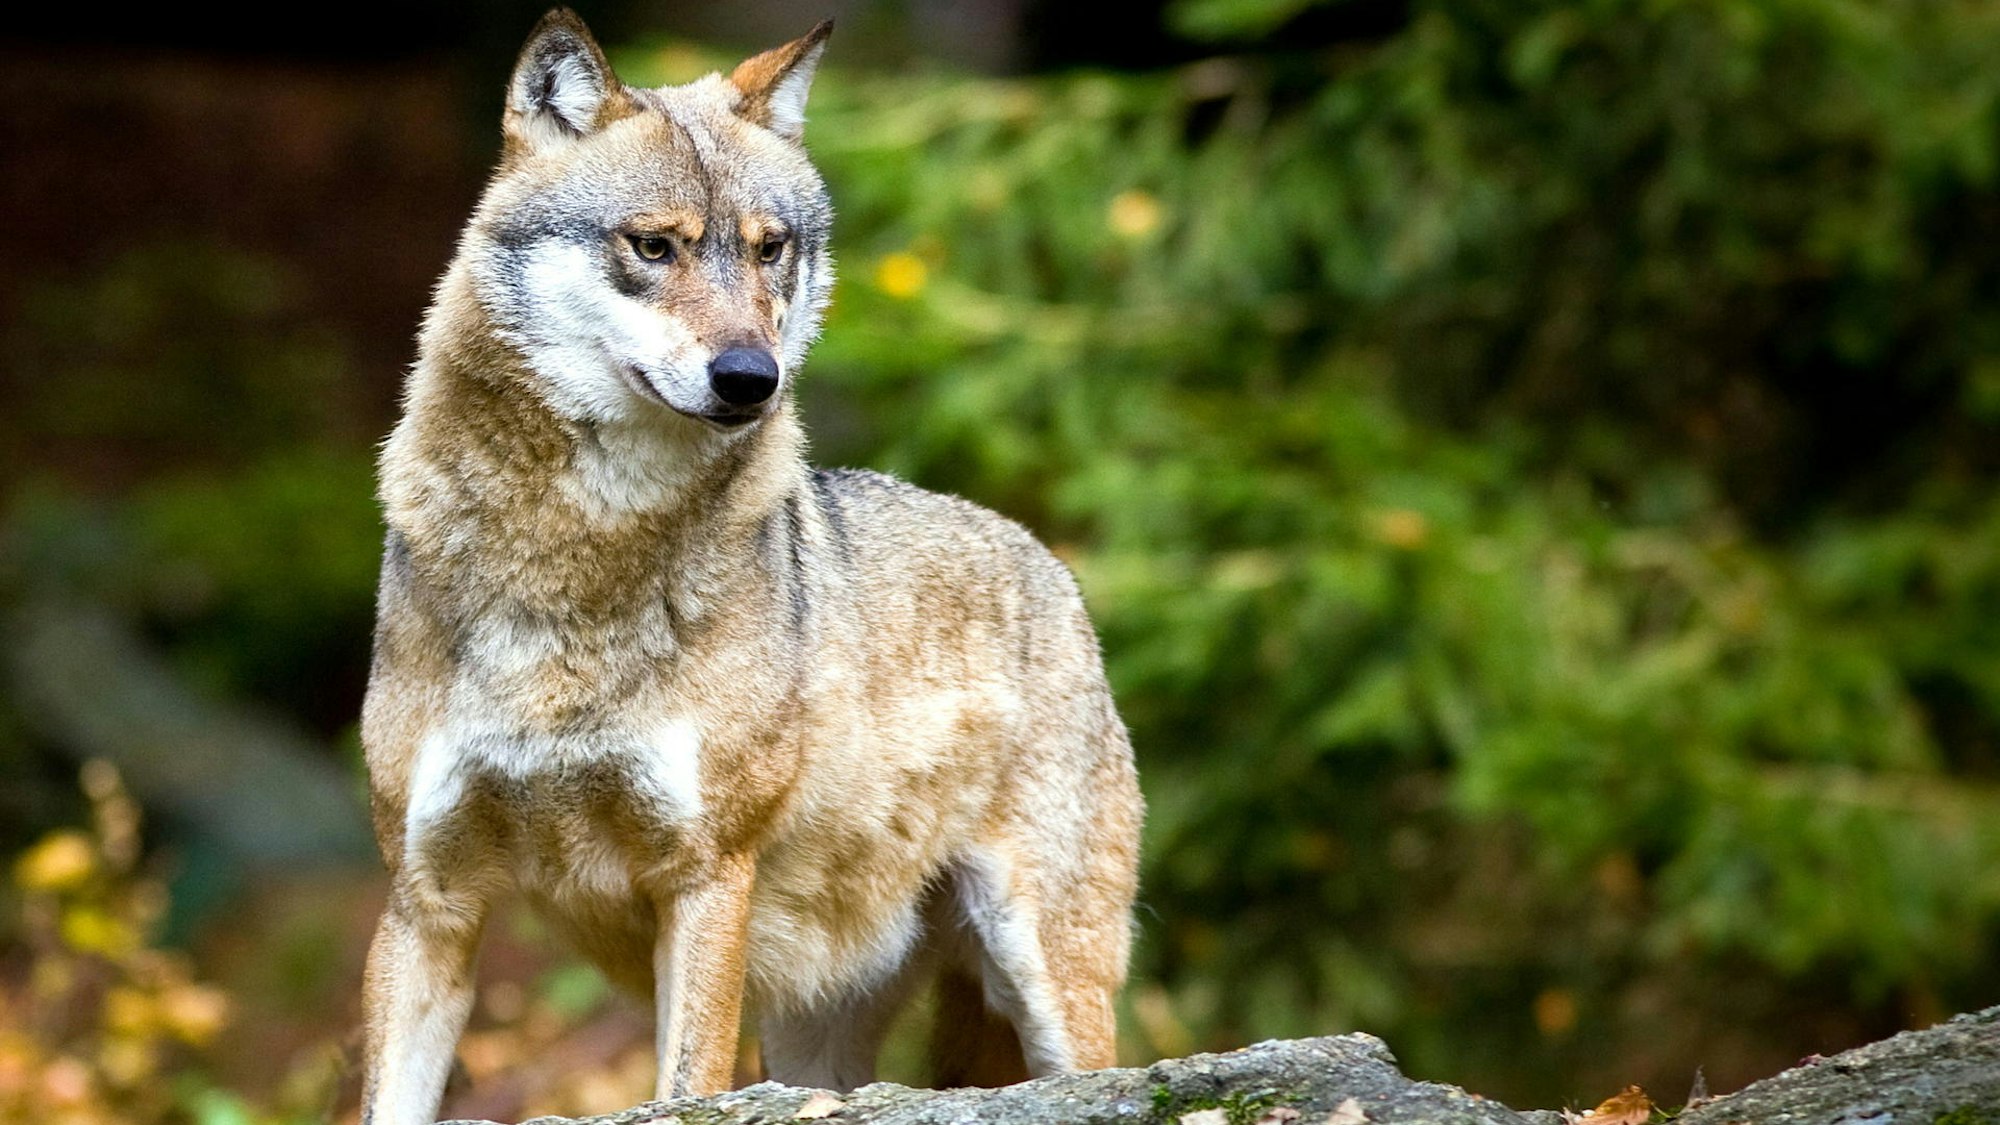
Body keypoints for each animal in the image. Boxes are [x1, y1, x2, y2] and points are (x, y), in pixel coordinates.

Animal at [356, 10, 1143, 1124]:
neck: (574, 560)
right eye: (653, 245)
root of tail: (1049, 563)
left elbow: (687, 1081)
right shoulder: (428, 901)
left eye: (771, 250)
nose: (749, 379)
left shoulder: (705, 875)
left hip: (1045, 978)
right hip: (817, 1036)